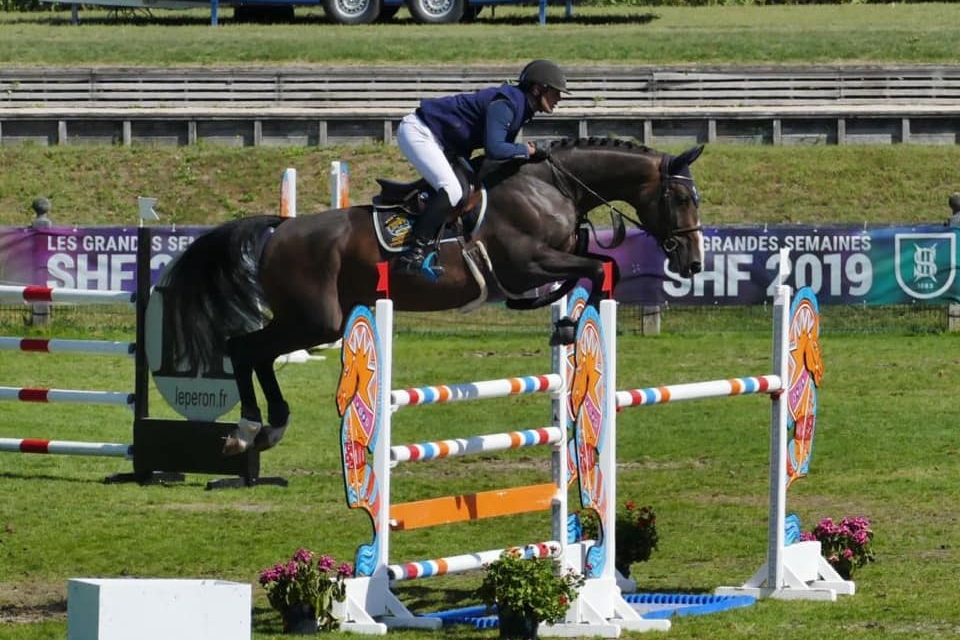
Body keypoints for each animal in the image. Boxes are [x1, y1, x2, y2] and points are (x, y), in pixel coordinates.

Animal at [159, 136, 704, 456]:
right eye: (680, 198)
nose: (693, 263)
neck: (550, 186)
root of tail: (281, 229)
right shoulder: (527, 261)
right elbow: (599, 267)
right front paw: (569, 325)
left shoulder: (546, 261)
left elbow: (595, 266)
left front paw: (556, 319)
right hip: (316, 320)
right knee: (245, 348)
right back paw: (253, 427)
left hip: (314, 320)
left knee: (254, 351)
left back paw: (267, 425)